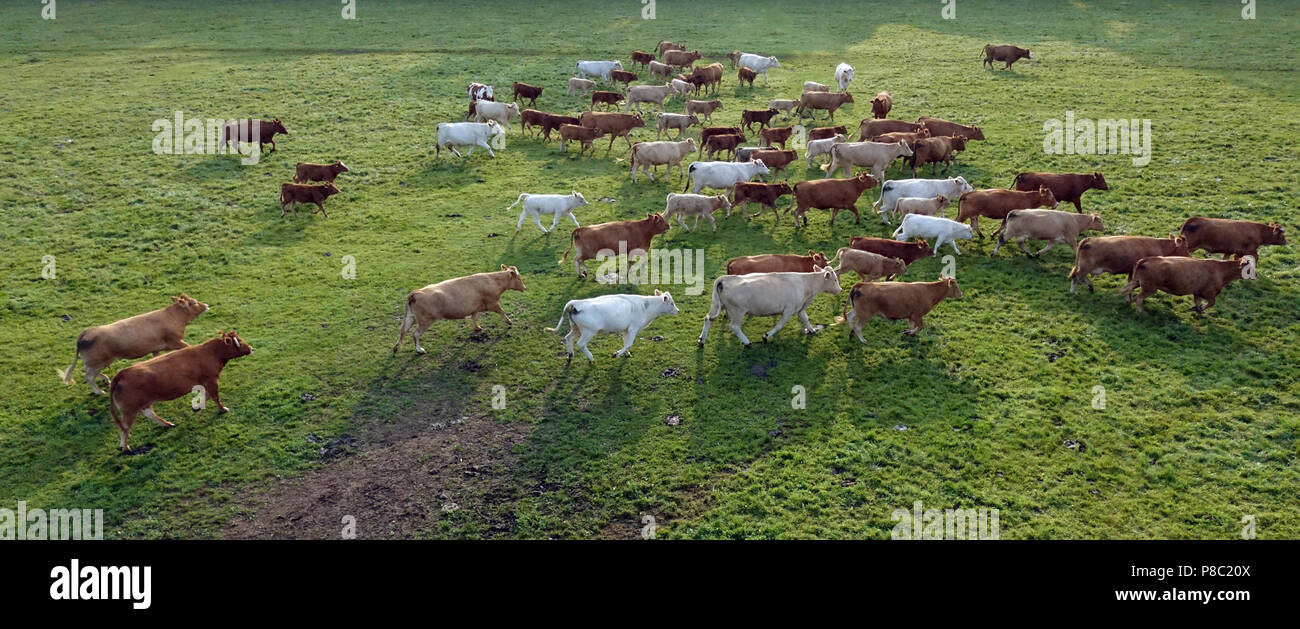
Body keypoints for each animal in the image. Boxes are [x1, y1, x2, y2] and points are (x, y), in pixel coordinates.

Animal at [56, 295, 209, 392]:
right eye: (193, 303)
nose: (207, 305)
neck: (172, 317)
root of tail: (86, 333)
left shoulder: (156, 348)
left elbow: (156, 359)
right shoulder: (175, 341)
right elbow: (188, 347)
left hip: (97, 362)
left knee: (87, 372)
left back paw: (106, 380)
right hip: (96, 362)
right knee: (88, 376)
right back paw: (99, 391)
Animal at [107, 331, 252, 454]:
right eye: (239, 341)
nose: (251, 348)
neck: (210, 352)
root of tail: (123, 373)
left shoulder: (205, 382)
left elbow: (207, 395)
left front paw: (197, 407)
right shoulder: (212, 380)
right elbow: (214, 396)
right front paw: (223, 409)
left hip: (141, 404)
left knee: (148, 414)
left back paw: (167, 424)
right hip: (129, 410)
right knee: (125, 427)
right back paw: (125, 447)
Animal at [543, 288, 681, 361]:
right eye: (672, 303)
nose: (678, 310)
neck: (646, 306)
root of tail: (577, 302)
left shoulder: (626, 329)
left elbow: (626, 342)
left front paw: (627, 354)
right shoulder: (633, 328)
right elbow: (629, 343)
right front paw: (617, 354)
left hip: (576, 328)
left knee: (568, 338)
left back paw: (570, 355)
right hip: (588, 331)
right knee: (580, 344)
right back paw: (591, 358)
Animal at [702, 263, 842, 345]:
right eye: (835, 279)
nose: (840, 290)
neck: (805, 284)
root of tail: (726, 278)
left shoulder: (799, 308)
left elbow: (806, 319)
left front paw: (812, 330)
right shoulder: (788, 310)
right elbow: (780, 325)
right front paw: (766, 336)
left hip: (716, 305)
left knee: (708, 319)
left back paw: (701, 340)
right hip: (738, 311)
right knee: (734, 327)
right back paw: (747, 342)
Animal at [1123, 256, 1253, 314]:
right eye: (1249, 269)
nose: (1255, 275)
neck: (1220, 270)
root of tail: (1146, 259)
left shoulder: (1197, 292)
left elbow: (1198, 302)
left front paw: (1197, 309)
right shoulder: (1209, 293)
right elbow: (1211, 303)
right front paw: (1200, 309)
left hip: (1137, 282)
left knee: (1128, 289)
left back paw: (1128, 301)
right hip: (1149, 288)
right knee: (1139, 298)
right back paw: (1141, 312)